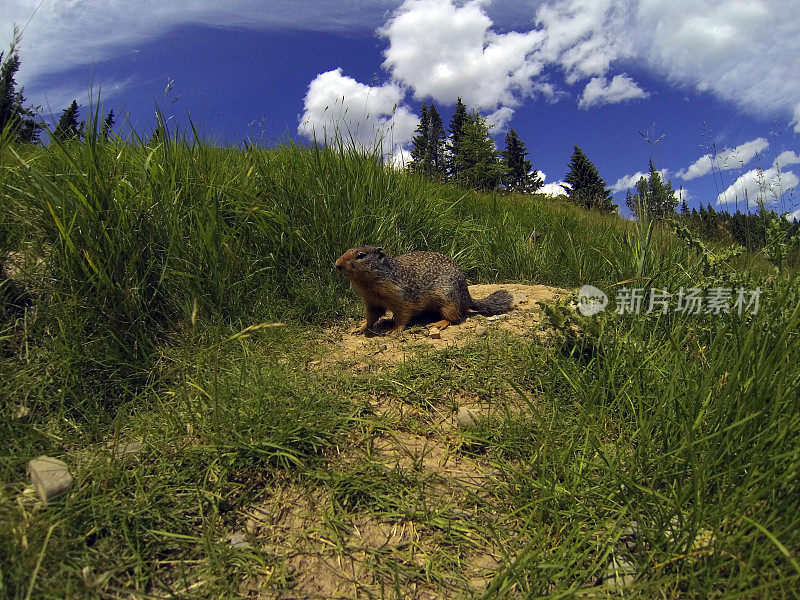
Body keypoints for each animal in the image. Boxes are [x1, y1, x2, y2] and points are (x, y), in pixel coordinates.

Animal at [336, 246, 512, 336]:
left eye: (360, 255)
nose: (337, 264)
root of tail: (468, 297)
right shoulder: (372, 301)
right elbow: (372, 316)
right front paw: (361, 327)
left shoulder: (400, 298)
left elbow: (402, 316)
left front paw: (394, 329)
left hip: (449, 299)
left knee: (453, 316)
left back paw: (440, 323)